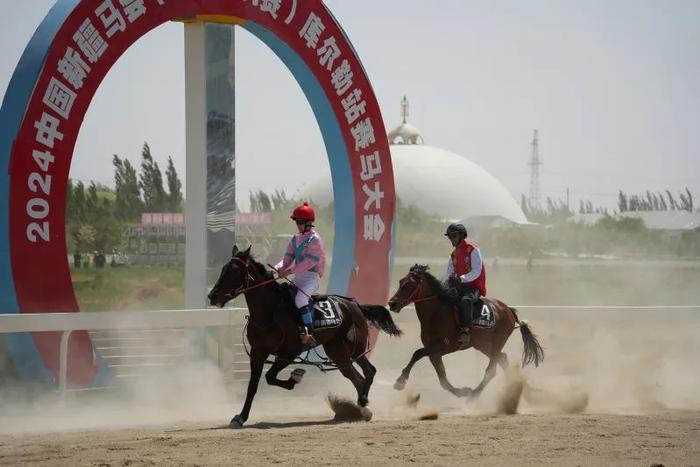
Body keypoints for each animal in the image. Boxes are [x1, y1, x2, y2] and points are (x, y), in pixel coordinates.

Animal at [208, 247, 402, 430]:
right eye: (223, 269)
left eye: (234, 271)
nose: (212, 296)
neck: (270, 314)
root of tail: (355, 304)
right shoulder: (257, 352)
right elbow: (253, 386)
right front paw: (240, 417)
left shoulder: (288, 353)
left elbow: (270, 377)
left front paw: (295, 377)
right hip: (337, 352)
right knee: (356, 377)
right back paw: (361, 407)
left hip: (357, 348)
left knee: (369, 371)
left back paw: (363, 405)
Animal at [386, 266, 544, 400]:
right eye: (400, 282)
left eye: (409, 284)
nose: (392, 303)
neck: (437, 312)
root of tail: (508, 310)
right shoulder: (434, 352)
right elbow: (443, 379)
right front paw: (462, 391)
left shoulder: (443, 345)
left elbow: (417, 353)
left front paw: (400, 380)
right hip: (483, 345)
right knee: (502, 358)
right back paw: (517, 388)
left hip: (499, 340)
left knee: (491, 369)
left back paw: (475, 394)